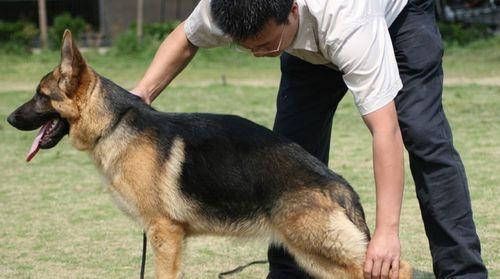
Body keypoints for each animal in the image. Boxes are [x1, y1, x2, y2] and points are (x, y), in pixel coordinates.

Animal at [7, 31, 412, 279]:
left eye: (41, 96)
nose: (8, 118)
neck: (114, 122)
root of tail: (337, 184)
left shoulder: (164, 233)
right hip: (313, 253)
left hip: (318, 247)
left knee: (400, 268)